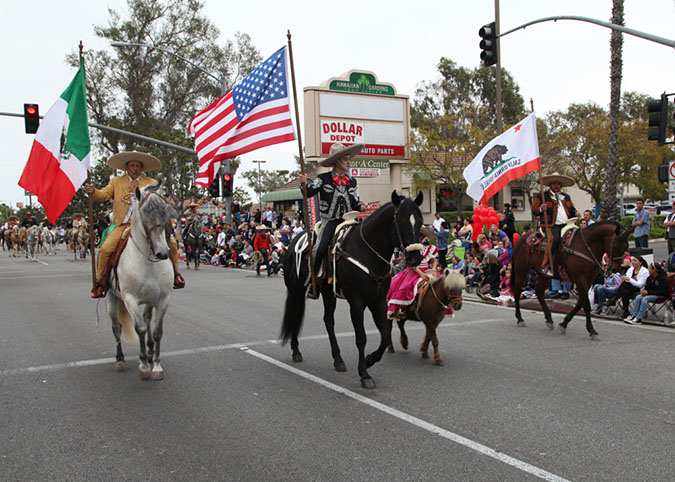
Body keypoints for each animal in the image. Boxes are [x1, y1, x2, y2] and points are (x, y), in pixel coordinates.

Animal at [280, 190, 422, 390]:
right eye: (401, 222)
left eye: (420, 222)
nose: (415, 258)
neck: (368, 251)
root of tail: (294, 242)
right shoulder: (357, 302)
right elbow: (361, 338)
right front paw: (364, 374)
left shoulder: (378, 301)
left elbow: (385, 336)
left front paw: (370, 360)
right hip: (296, 290)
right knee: (295, 314)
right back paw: (296, 350)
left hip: (328, 293)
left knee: (328, 321)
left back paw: (338, 359)